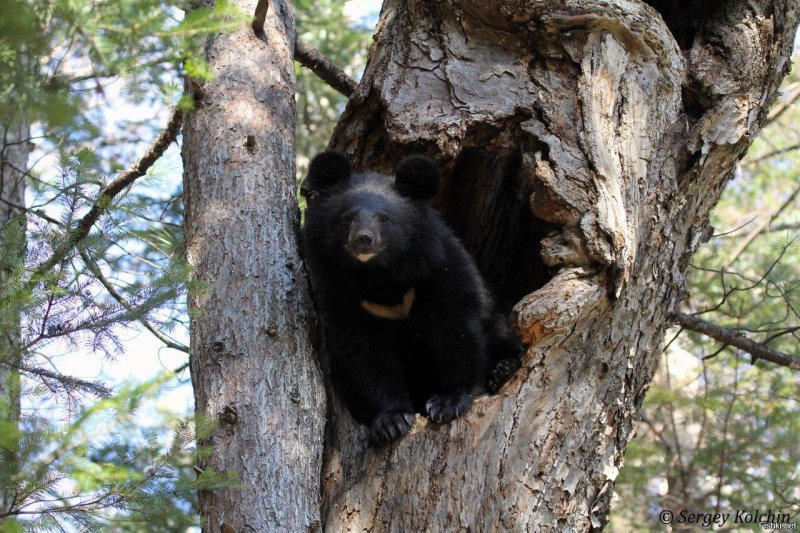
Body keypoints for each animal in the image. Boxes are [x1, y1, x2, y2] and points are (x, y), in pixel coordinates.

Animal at [304, 152, 520, 442]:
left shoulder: (440, 271)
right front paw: (392, 421)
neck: (380, 275)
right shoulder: (346, 298)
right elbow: (365, 353)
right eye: (347, 217)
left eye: (384, 218)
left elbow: (457, 328)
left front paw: (447, 403)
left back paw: (503, 370)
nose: (364, 239)